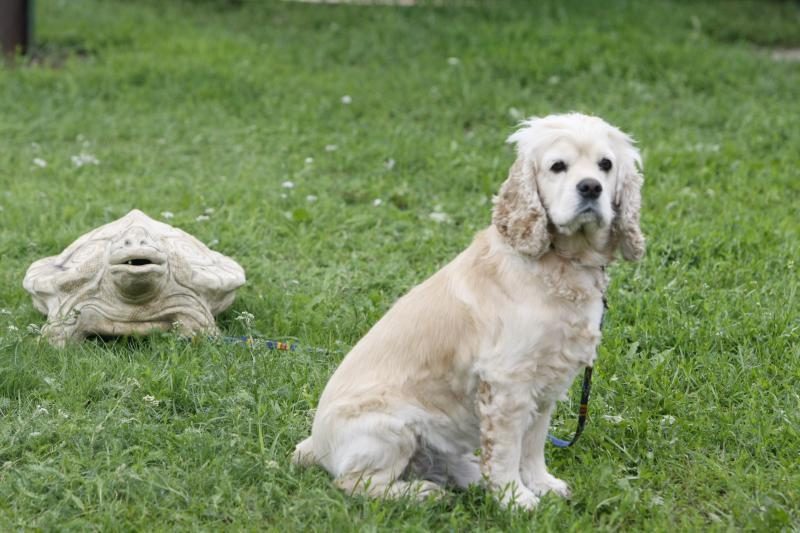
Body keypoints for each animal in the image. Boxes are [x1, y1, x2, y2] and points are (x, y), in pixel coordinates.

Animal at [292, 112, 644, 508]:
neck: (561, 264)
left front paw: (542, 484)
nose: (591, 188)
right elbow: (507, 450)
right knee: (354, 483)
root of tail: (315, 444)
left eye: (605, 165)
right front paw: (515, 499)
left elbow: (533, 443)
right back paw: (423, 492)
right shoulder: (508, 382)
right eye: (558, 166)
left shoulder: (547, 382)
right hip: (391, 427)